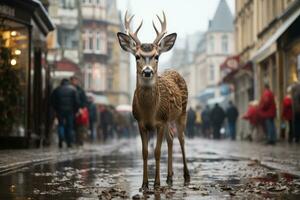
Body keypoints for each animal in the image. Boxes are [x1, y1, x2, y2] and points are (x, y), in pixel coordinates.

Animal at [116, 11, 190, 190]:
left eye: (156, 56)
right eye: (137, 56)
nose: (147, 71)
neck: (150, 112)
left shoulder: (161, 121)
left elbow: (157, 151)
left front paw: (156, 183)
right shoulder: (140, 122)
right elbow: (145, 152)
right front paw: (144, 184)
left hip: (182, 112)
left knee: (181, 138)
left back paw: (186, 175)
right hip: (170, 118)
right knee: (171, 138)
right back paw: (169, 176)